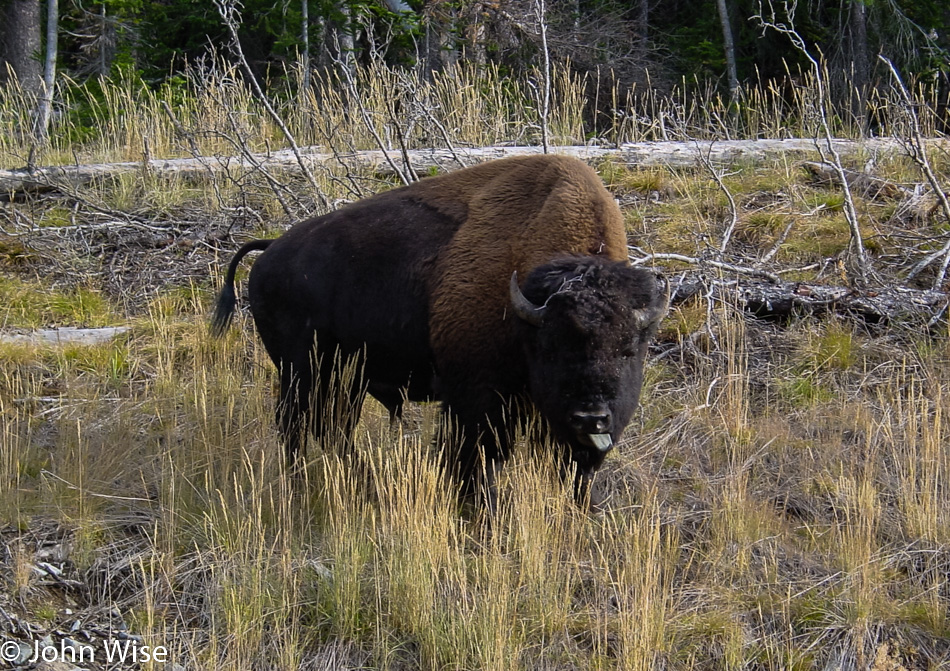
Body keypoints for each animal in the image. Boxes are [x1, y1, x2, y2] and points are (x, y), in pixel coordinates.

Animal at [211, 154, 664, 510]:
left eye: (629, 350)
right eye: (551, 349)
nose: (591, 417)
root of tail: (269, 250)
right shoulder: (476, 398)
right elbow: (475, 458)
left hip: (344, 376)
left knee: (332, 428)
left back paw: (362, 486)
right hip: (302, 371)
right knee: (296, 425)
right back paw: (301, 488)